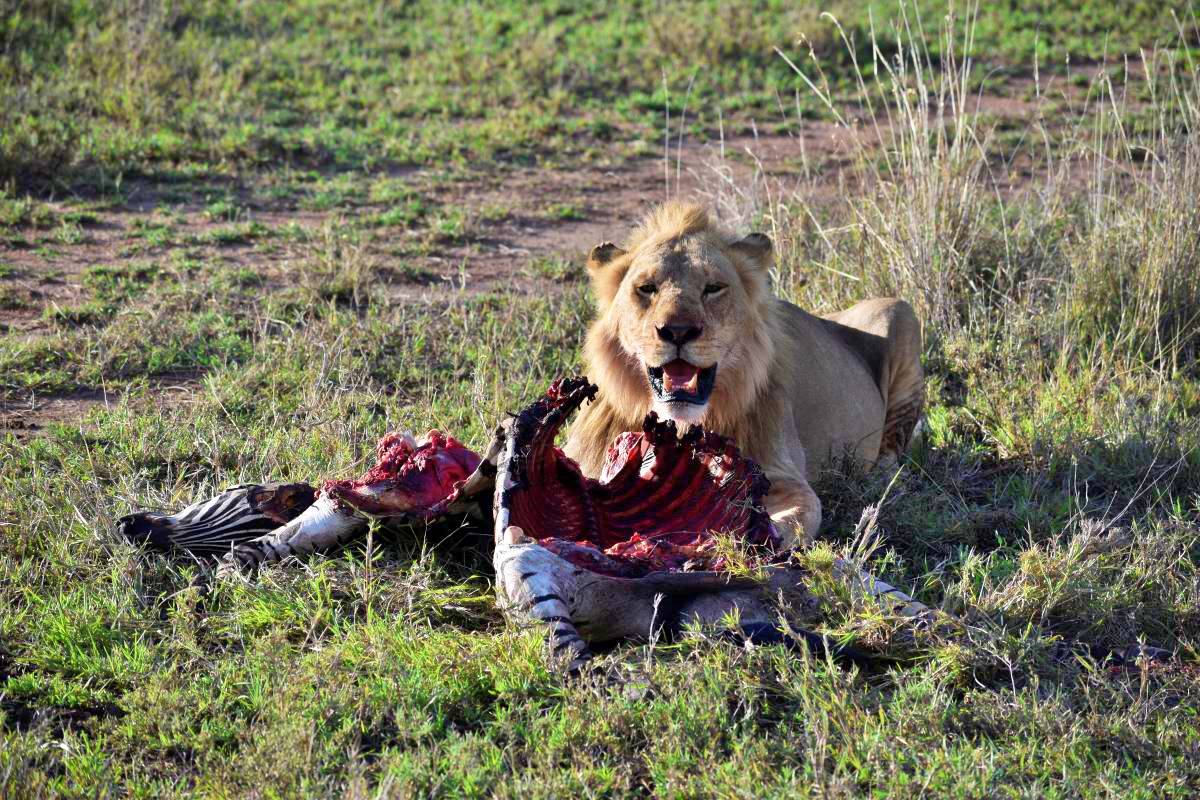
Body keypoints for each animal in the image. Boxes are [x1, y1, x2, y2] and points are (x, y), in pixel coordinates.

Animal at [564, 203, 926, 546]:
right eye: (647, 288)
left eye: (713, 288)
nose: (678, 331)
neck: (679, 425)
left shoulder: (784, 478)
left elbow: (792, 520)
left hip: (900, 313)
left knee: (892, 452)